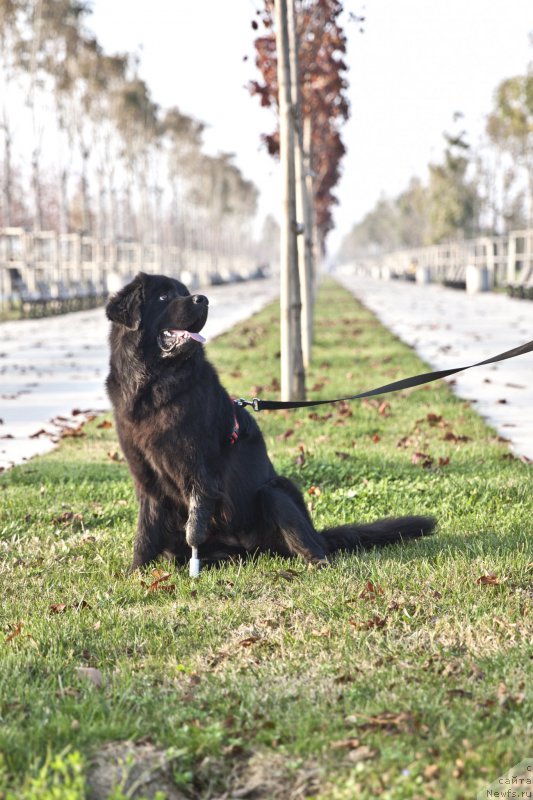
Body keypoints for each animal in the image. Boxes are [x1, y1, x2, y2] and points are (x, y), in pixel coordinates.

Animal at [106, 272, 434, 572]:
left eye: (185, 293)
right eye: (164, 296)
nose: (204, 299)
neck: (153, 385)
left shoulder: (199, 470)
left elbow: (194, 527)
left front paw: (188, 571)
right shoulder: (147, 479)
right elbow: (146, 533)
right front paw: (136, 574)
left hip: (276, 492)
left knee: (312, 544)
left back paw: (316, 564)